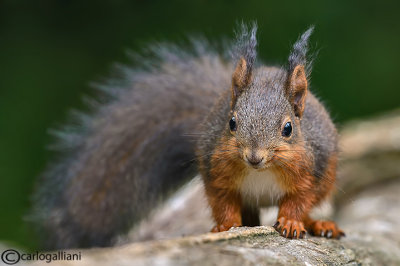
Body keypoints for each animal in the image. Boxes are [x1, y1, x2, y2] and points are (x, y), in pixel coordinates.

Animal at [31, 22, 344, 249]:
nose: (254, 157)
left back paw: (320, 225)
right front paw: (226, 227)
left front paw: (291, 222)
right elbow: (223, 203)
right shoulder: (217, 172)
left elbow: (298, 201)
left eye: (288, 129)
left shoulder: (312, 169)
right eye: (231, 122)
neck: (262, 170)